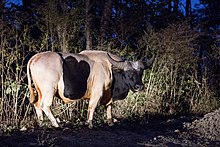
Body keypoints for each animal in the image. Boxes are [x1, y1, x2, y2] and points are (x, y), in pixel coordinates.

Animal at [27, 50, 155, 128]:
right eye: (128, 73)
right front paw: (90, 124)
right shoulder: (98, 92)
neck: (109, 67)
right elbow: (92, 107)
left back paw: (41, 123)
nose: (140, 86)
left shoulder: (108, 94)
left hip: (40, 91)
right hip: (49, 90)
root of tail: (35, 57)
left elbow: (109, 107)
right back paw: (56, 124)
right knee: (45, 106)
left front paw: (110, 122)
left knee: (37, 105)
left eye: (141, 72)